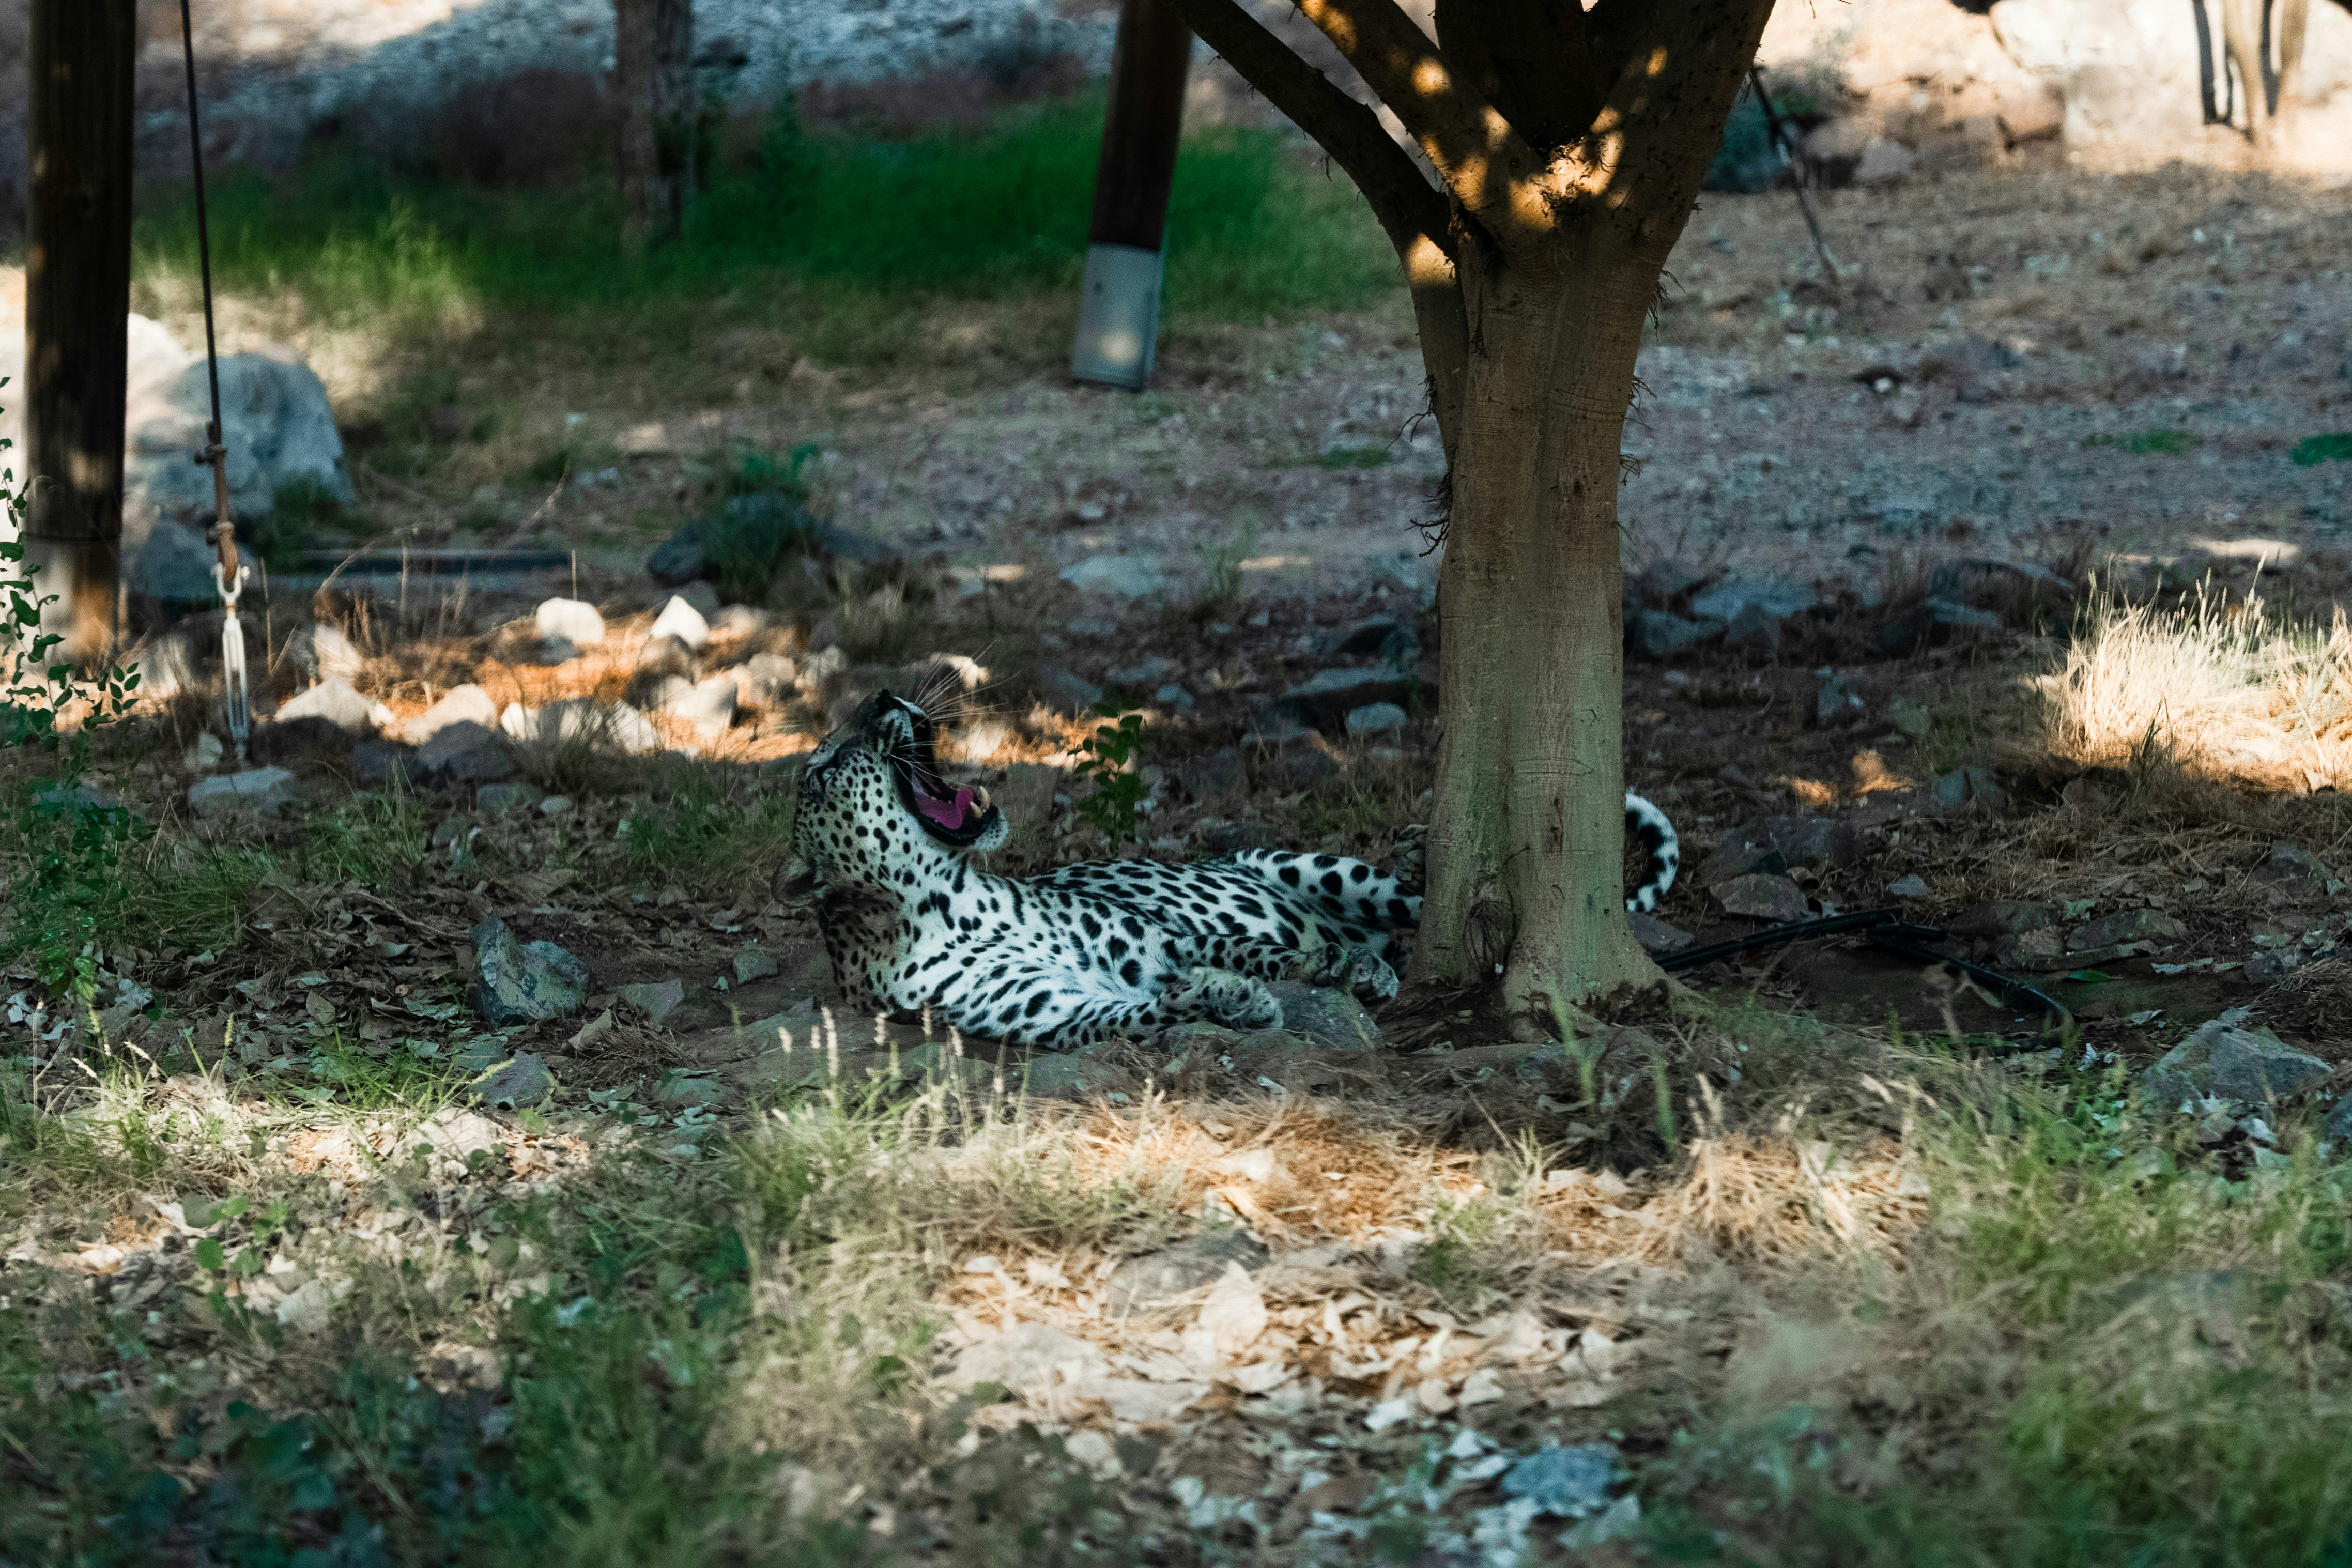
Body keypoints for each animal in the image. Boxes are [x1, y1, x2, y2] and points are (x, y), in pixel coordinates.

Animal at [775, 690, 1679, 1050]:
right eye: (823, 765)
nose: (887, 695)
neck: (951, 896)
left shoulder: (1151, 931)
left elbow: (1250, 947)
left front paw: (1321, 970)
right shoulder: (1039, 1011)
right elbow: (1131, 1011)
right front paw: (1229, 1000)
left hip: (1305, 861)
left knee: (1412, 902)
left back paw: (1411, 869)